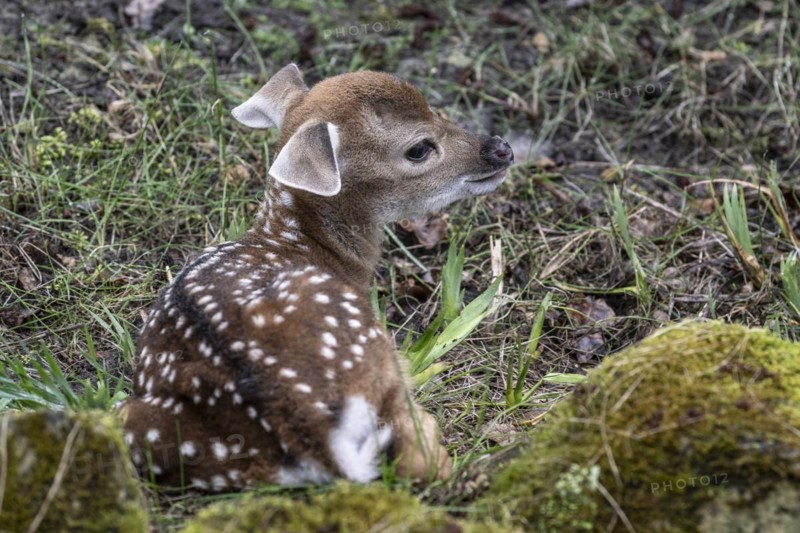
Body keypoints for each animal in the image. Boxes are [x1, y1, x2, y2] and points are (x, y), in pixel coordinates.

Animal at [119, 64, 514, 492]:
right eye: (419, 148)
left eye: (434, 108)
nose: (500, 147)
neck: (297, 245)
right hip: (376, 357)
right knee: (422, 457)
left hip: (140, 423)